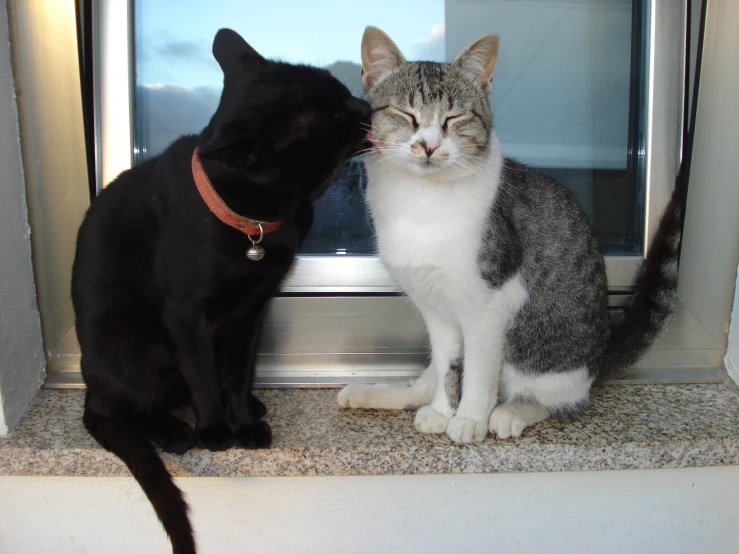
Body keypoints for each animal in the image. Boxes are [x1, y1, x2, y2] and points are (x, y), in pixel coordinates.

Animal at [72, 29, 370, 552]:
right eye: (333, 117)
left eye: (340, 89)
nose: (366, 105)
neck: (259, 220)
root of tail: (89, 379)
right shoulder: (187, 317)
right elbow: (205, 377)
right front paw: (216, 429)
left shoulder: (251, 311)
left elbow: (237, 371)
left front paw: (244, 422)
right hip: (132, 343)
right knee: (121, 409)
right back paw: (174, 430)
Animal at [338, 28, 684, 442]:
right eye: (406, 114)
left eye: (455, 117)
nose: (429, 145)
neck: (420, 201)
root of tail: (599, 357)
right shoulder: (435, 308)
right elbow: (449, 365)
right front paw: (443, 411)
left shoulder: (491, 303)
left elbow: (479, 371)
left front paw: (470, 418)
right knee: (429, 377)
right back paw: (375, 393)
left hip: (540, 359)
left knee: (563, 401)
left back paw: (511, 413)